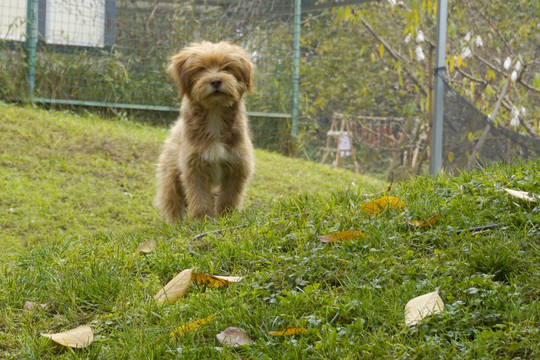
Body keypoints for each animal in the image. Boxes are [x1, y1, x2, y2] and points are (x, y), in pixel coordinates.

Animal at [154, 41, 255, 222]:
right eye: (201, 69)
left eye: (227, 68)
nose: (215, 81)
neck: (215, 113)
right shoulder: (194, 167)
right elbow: (199, 197)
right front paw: (203, 220)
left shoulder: (238, 166)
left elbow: (229, 197)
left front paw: (226, 217)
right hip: (171, 177)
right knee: (172, 203)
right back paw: (176, 224)